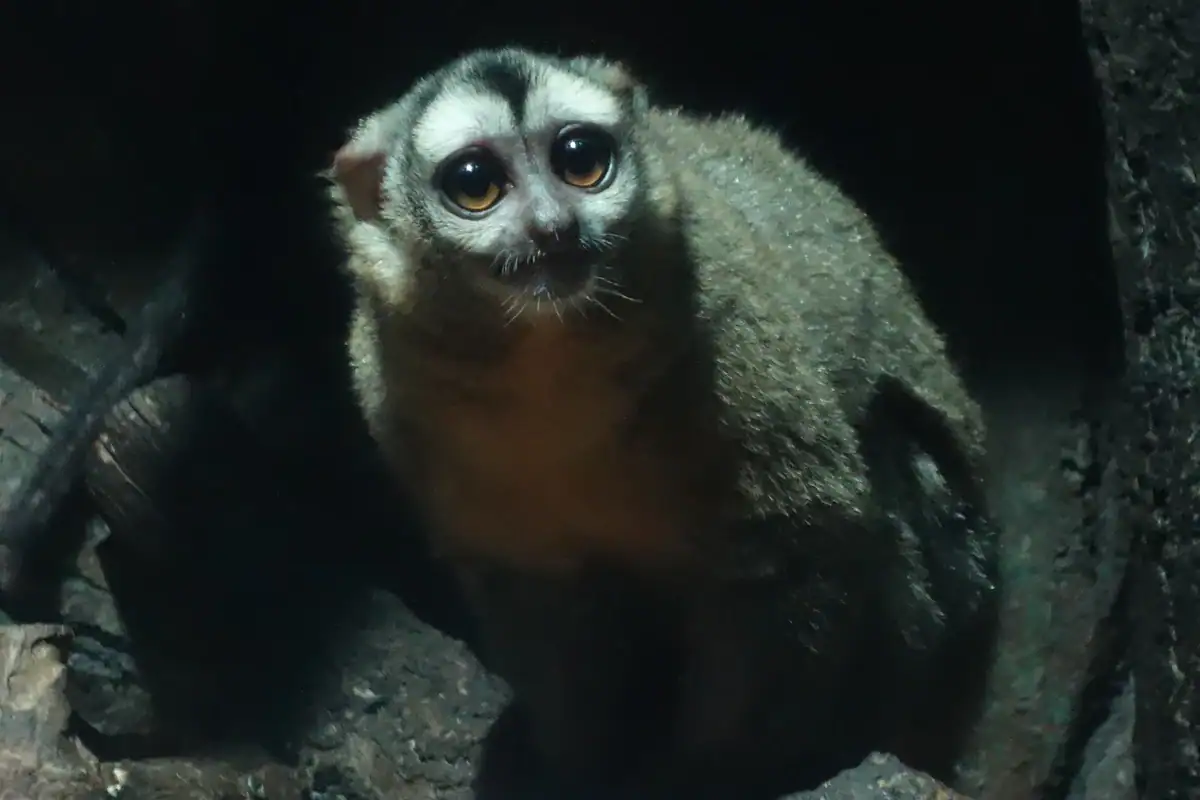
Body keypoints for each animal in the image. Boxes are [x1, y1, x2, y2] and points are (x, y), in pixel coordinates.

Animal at [326, 47, 1000, 799]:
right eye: (475, 185)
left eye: (581, 160)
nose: (554, 228)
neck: (545, 356)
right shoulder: (398, 388)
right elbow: (539, 593)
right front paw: (572, 766)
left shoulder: (732, 331)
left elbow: (796, 548)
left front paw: (706, 772)